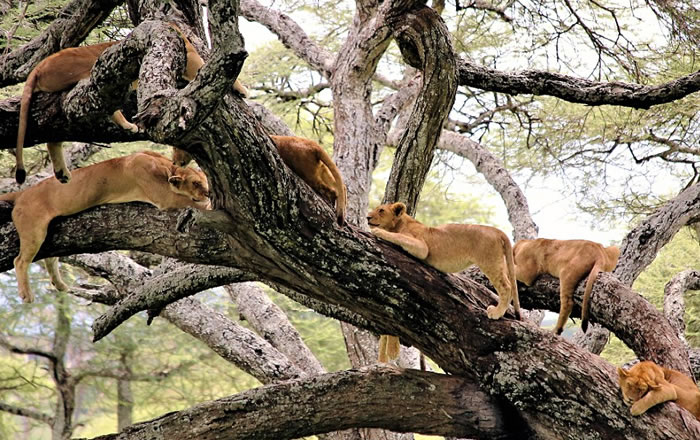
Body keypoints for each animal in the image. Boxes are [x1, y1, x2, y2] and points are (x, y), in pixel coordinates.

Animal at [2, 151, 211, 302]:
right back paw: (27, 295)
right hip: (33, 230)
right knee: (20, 261)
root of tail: (21, 193)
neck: (165, 167)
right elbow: (189, 201)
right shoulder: (162, 195)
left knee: (51, 259)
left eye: (205, 180)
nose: (208, 192)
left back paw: (61, 285)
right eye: (196, 183)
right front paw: (209, 205)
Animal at [13, 25, 249, 184]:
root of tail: (39, 66)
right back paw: (128, 125)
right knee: (104, 103)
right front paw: (242, 88)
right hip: (88, 76)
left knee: (54, 138)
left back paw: (62, 174)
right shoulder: (191, 58)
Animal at [173, 135, 348, 225]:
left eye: (176, 148)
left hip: (308, 174)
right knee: (340, 188)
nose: (174, 162)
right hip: (323, 172)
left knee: (331, 192)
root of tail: (313, 145)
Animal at [366, 201, 520, 362]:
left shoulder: (422, 247)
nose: (367, 217)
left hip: (489, 260)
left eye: (381, 210)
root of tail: (497, 231)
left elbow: (398, 237)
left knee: (506, 286)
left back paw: (496, 312)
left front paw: (378, 232)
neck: (400, 223)